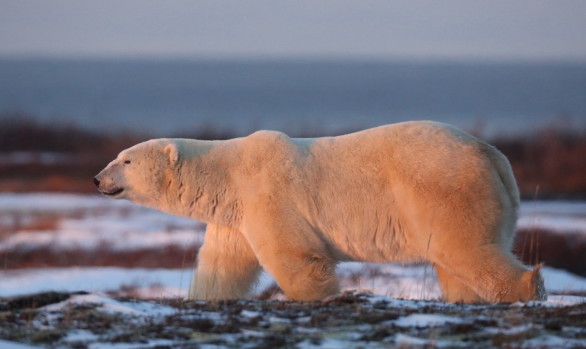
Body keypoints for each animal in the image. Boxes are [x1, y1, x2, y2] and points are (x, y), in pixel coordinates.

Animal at [93, 119, 544, 302]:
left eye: (126, 160)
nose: (97, 179)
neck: (230, 172)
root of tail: (492, 154)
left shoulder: (269, 195)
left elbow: (294, 255)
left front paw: (322, 296)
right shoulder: (235, 217)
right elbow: (223, 264)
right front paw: (203, 298)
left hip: (441, 190)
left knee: (464, 248)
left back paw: (523, 292)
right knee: (454, 261)